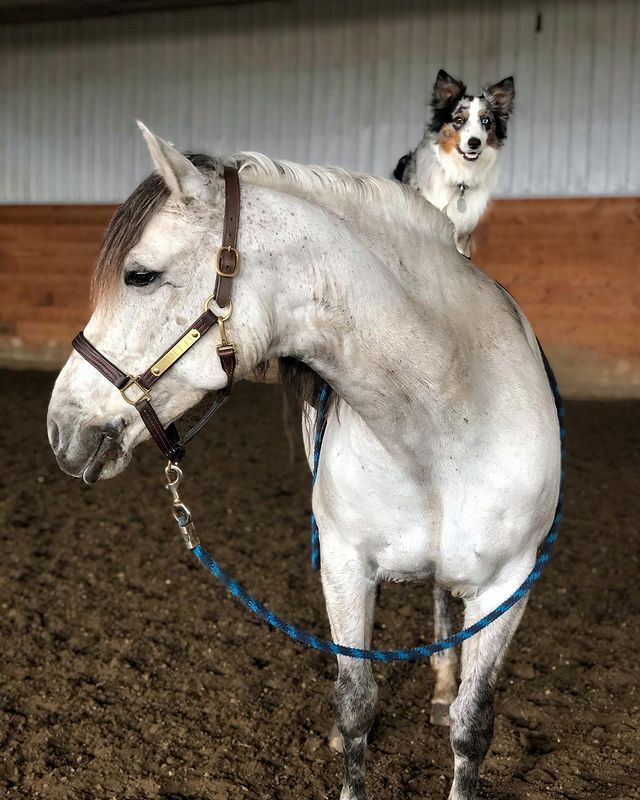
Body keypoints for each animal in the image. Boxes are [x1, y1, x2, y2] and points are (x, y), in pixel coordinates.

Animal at [47, 124, 562, 800]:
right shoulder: (344, 565)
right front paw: (348, 739)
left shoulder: (508, 585)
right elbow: (356, 701)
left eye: (139, 275)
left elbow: (473, 725)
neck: (447, 418)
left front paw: (455, 708)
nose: (61, 428)